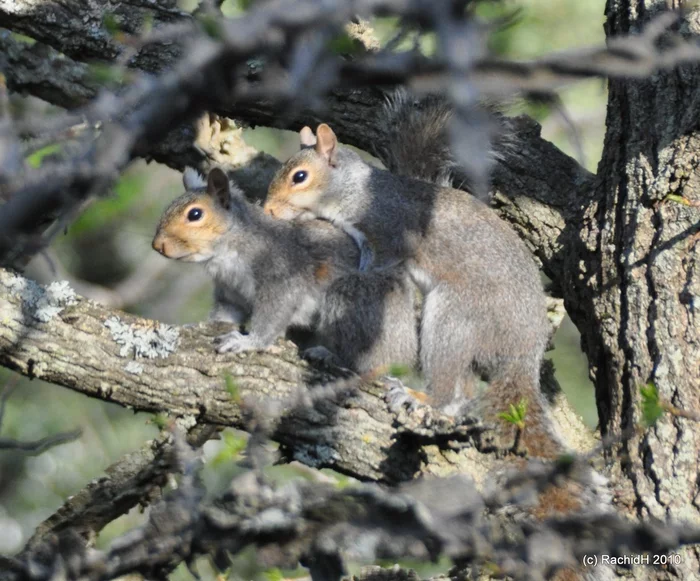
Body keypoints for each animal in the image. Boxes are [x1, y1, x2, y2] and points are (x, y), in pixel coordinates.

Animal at [152, 165, 416, 374]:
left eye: (195, 214)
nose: (157, 245)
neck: (228, 252)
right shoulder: (231, 293)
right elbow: (226, 315)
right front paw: (198, 326)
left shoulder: (281, 275)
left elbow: (273, 314)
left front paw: (249, 342)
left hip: (359, 303)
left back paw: (332, 356)